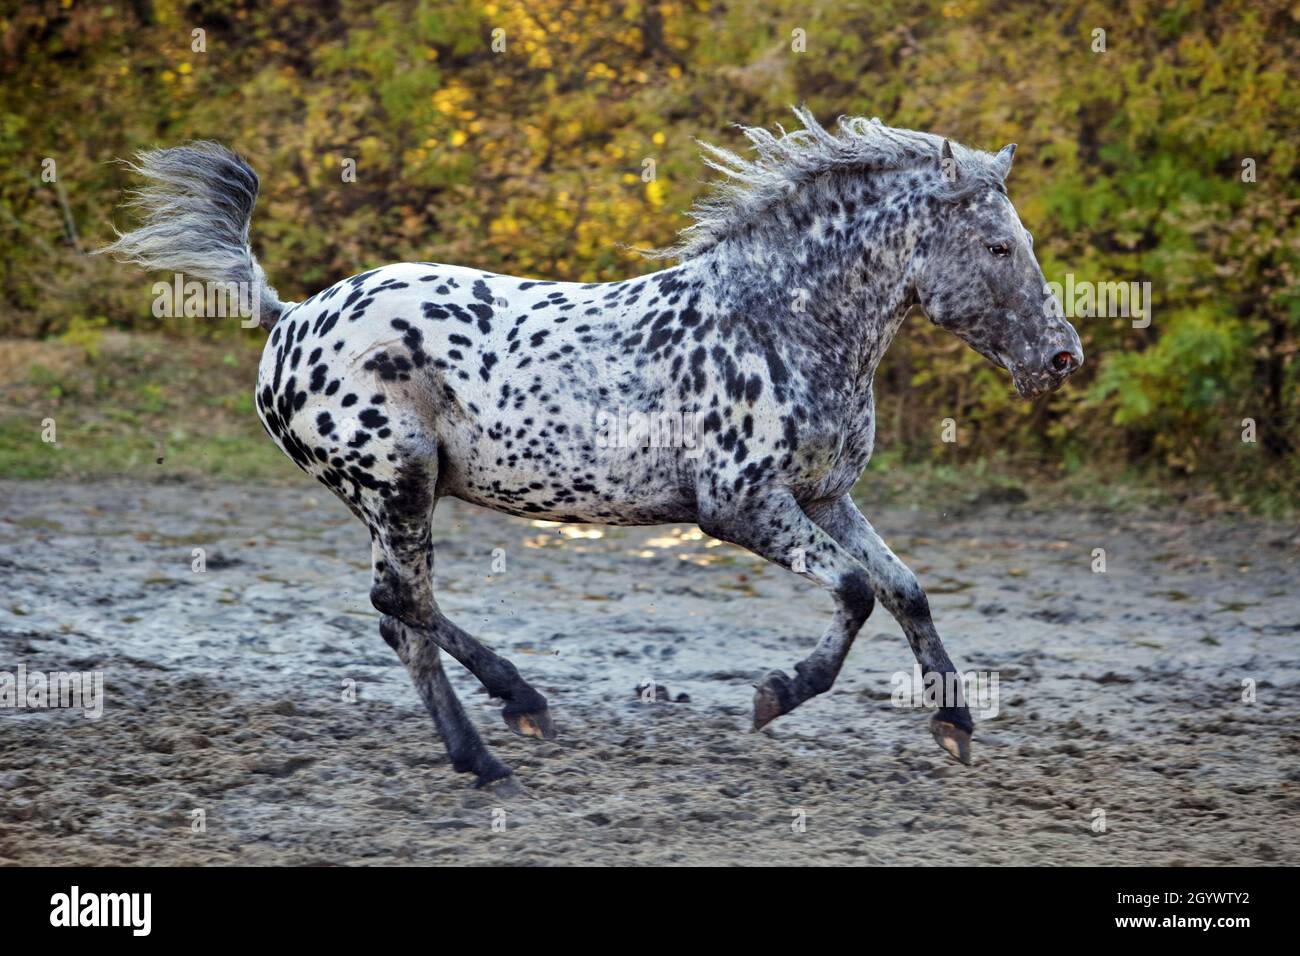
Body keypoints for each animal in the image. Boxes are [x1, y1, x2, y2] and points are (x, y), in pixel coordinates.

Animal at [101, 106, 1081, 790]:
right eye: (999, 245)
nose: (1061, 355)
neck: (779, 321)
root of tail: (290, 317)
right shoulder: (740, 507)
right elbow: (853, 591)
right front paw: (775, 696)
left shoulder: (824, 497)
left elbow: (905, 588)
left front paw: (955, 726)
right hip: (395, 485)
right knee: (402, 604)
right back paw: (501, 735)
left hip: (386, 499)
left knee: (398, 615)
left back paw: (502, 733)